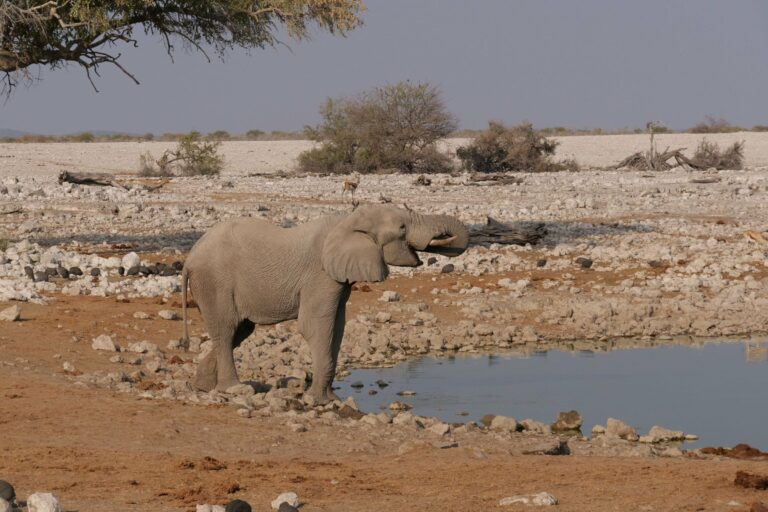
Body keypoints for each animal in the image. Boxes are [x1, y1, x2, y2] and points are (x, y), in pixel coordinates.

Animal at [181, 204, 469, 404]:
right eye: (401, 229)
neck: (348, 220)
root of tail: (189, 258)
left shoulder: (339, 280)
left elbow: (337, 327)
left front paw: (331, 399)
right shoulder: (320, 276)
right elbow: (316, 326)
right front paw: (318, 401)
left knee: (239, 330)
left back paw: (203, 386)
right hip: (214, 281)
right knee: (227, 329)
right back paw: (234, 389)